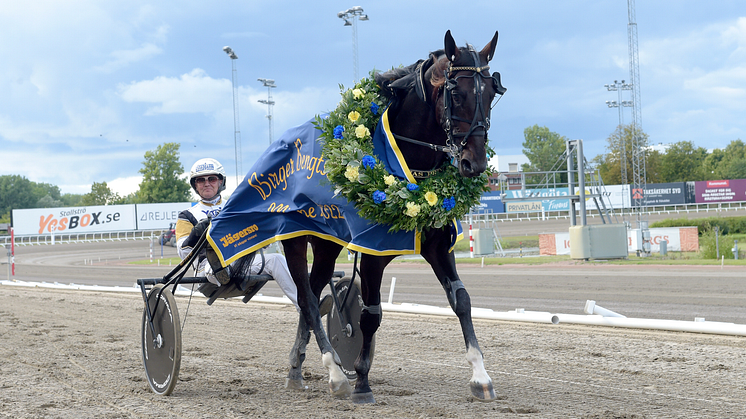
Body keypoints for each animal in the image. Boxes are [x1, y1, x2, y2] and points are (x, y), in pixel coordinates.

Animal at [274, 29, 506, 404]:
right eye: (457, 93)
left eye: (492, 92)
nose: (475, 163)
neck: (408, 165)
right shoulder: (373, 253)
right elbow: (370, 315)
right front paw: (361, 381)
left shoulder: (438, 245)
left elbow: (462, 301)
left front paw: (480, 376)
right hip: (295, 240)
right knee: (307, 299)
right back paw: (335, 372)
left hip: (326, 244)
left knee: (313, 289)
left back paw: (297, 367)